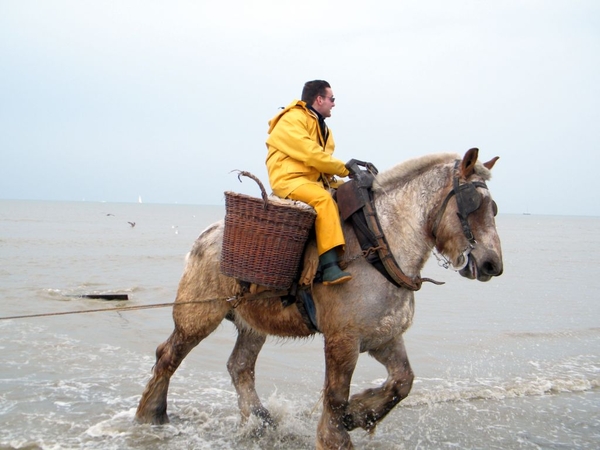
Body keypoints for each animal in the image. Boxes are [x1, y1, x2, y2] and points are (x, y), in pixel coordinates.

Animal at [135, 147, 502, 446]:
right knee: (168, 355)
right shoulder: (343, 340)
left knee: (239, 366)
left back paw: (258, 421)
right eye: (473, 205)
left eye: (494, 208)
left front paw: (359, 414)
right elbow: (335, 396)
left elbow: (403, 382)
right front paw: (335, 436)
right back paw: (151, 413)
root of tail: (206, 235)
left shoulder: (383, 337)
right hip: (197, 316)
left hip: (251, 324)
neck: (377, 244)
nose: (492, 264)